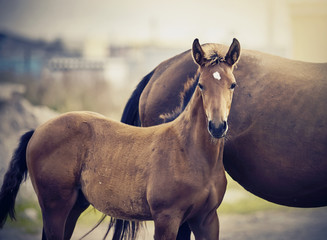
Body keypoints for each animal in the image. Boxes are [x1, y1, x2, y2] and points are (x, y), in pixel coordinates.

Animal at [0, 38, 241, 239]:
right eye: (201, 85)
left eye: (233, 84)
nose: (217, 127)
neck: (189, 151)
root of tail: (37, 131)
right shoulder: (167, 219)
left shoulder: (206, 219)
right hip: (54, 207)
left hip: (74, 207)